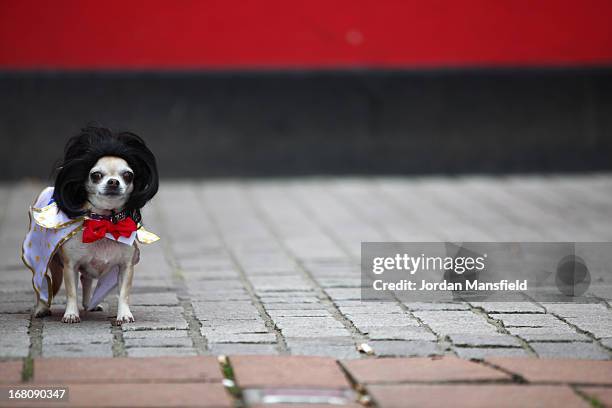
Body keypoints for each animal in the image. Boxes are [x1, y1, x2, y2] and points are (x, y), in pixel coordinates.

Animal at [27, 126, 159, 324]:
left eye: (128, 175)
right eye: (96, 175)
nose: (113, 181)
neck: (104, 223)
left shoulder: (125, 267)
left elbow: (123, 293)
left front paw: (124, 314)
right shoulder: (70, 267)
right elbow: (71, 292)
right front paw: (71, 314)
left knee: (86, 280)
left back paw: (90, 304)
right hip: (50, 266)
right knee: (44, 287)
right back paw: (41, 309)